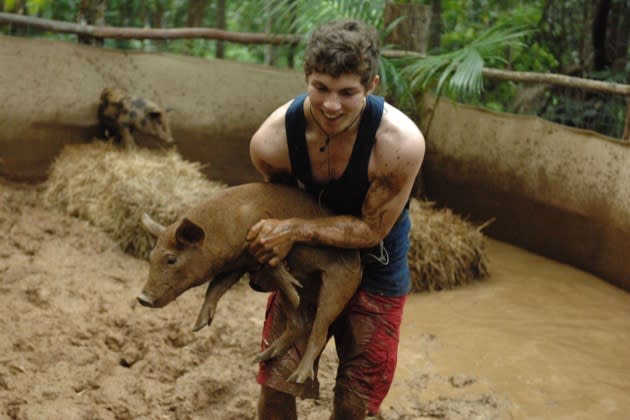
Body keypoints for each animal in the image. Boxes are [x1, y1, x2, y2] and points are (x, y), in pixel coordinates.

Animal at [140, 183, 362, 384]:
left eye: (171, 260)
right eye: (151, 256)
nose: (142, 298)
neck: (221, 230)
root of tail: (359, 265)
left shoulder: (258, 235)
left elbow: (270, 263)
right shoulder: (237, 264)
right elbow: (216, 286)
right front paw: (199, 326)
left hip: (341, 283)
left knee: (319, 331)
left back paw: (296, 378)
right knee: (298, 324)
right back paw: (261, 355)